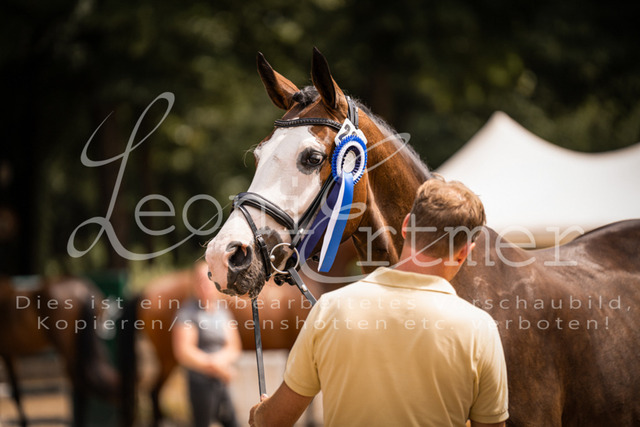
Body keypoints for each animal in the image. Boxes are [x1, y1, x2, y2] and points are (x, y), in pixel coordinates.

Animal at [0, 276, 121, 427]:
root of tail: (83, 291)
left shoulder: (7, 354)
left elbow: (16, 393)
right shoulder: (9, 353)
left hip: (68, 349)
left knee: (81, 382)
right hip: (89, 346)